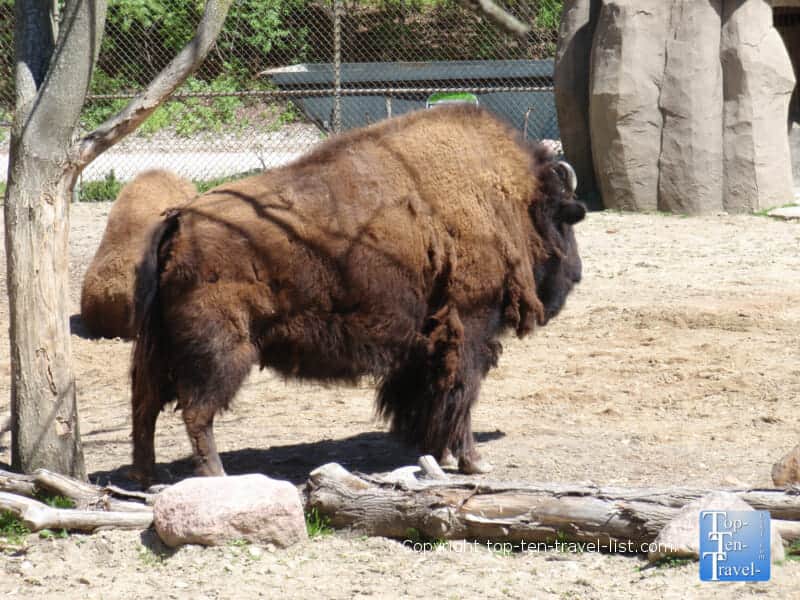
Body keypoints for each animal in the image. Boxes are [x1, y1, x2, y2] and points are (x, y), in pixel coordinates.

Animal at [130, 105, 585, 484]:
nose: (577, 275)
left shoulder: (424, 344)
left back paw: (148, 475)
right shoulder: (469, 329)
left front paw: (434, 455)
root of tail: (180, 220)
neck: (506, 195)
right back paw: (215, 476)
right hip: (222, 353)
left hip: (160, 350)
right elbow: (461, 393)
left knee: (145, 405)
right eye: (565, 220)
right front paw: (473, 462)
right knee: (196, 412)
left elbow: (431, 399)